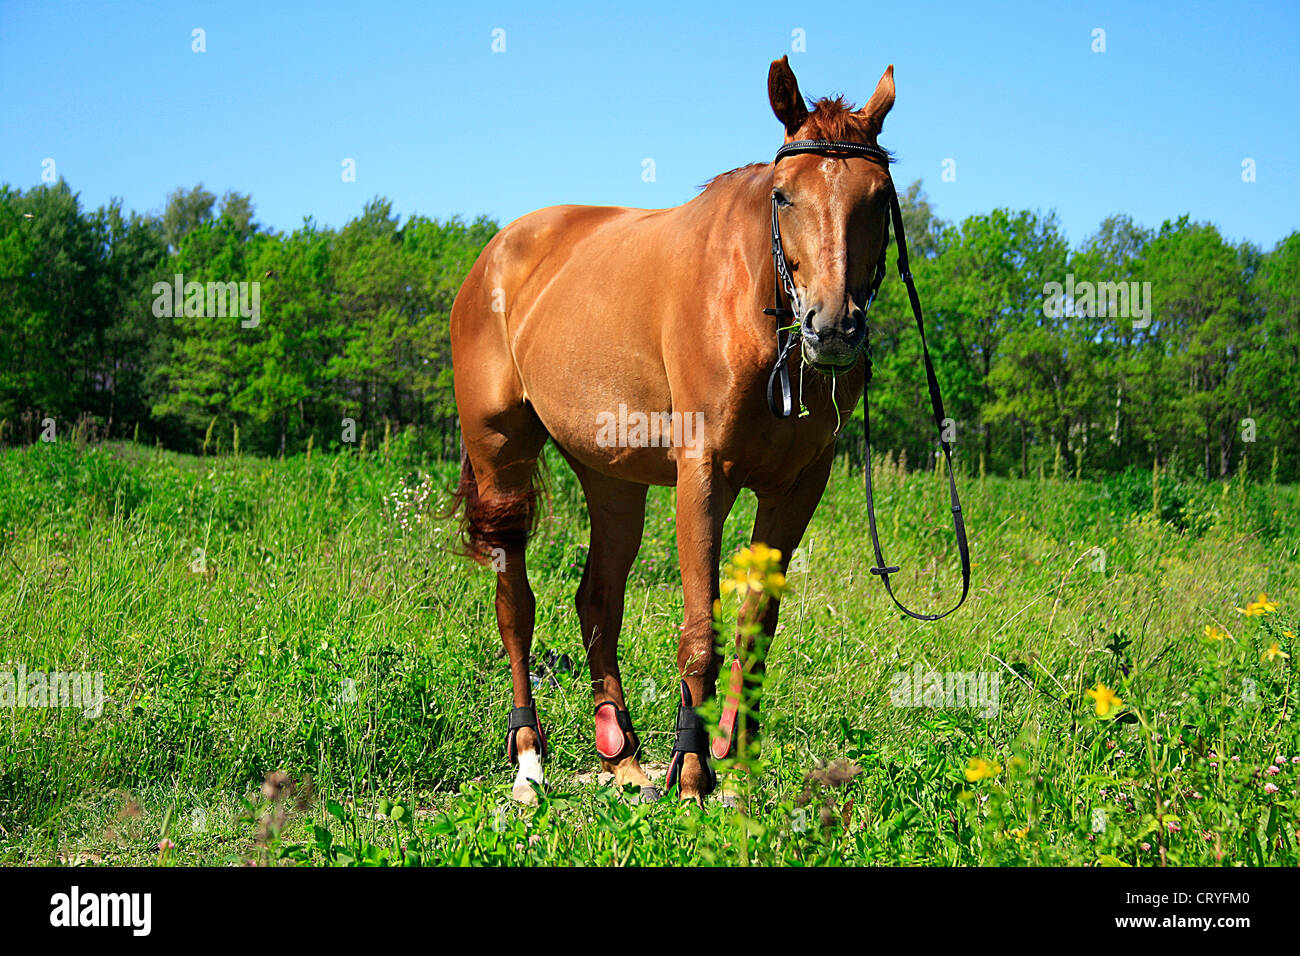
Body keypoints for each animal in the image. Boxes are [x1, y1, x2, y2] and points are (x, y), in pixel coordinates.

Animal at [449, 56, 963, 804]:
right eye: (783, 196)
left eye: (878, 196)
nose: (832, 329)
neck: (753, 306)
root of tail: (497, 253)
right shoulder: (703, 475)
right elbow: (700, 632)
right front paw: (692, 772)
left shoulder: (797, 487)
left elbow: (756, 627)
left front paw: (735, 759)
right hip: (500, 457)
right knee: (515, 602)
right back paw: (529, 762)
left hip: (612, 479)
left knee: (597, 600)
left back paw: (622, 757)